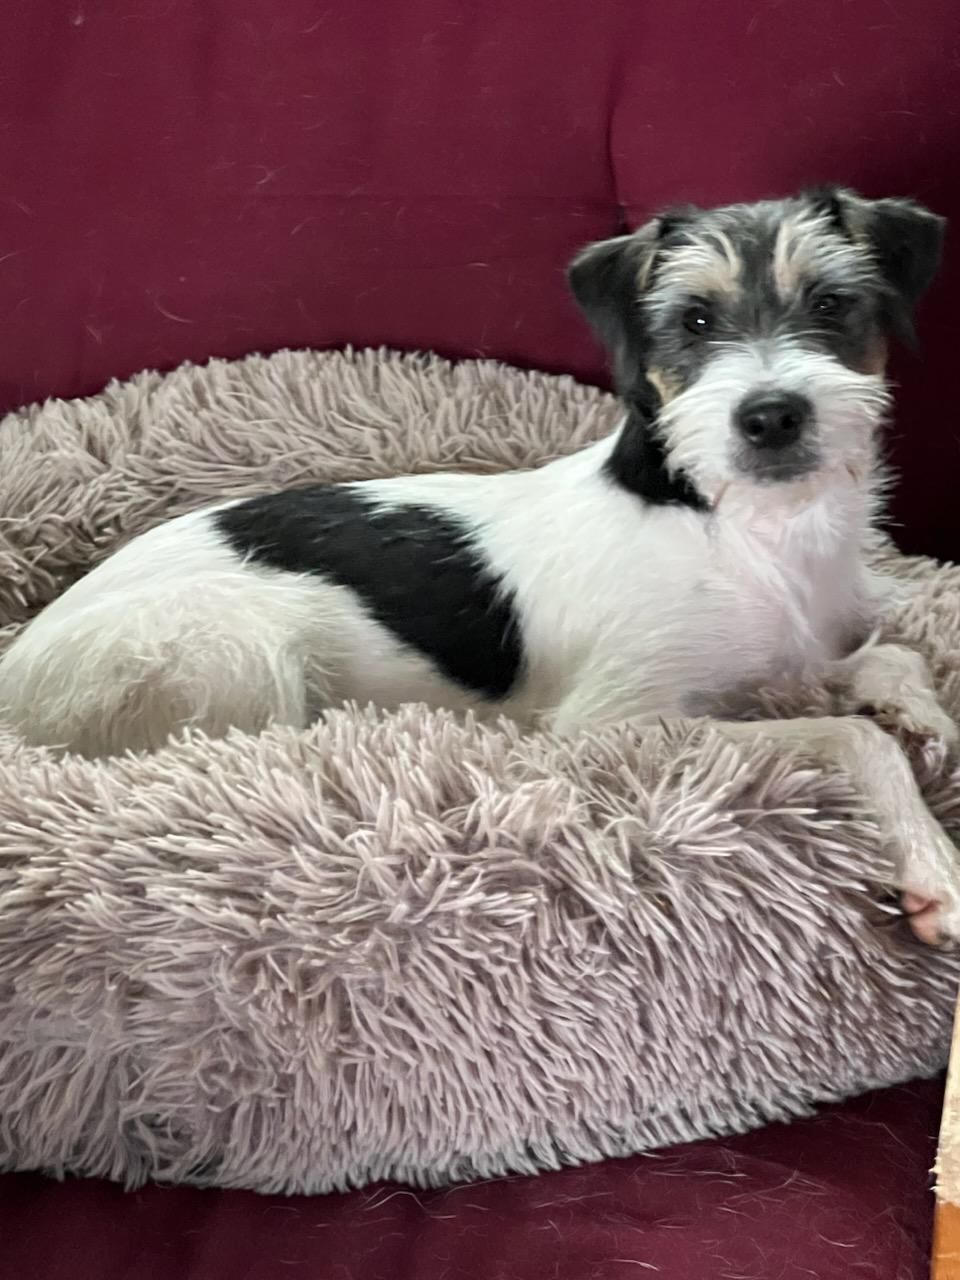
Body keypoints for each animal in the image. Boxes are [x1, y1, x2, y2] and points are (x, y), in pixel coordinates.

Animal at [1, 185, 957, 943]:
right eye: (692, 321)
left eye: (831, 304)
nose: (771, 416)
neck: (744, 525)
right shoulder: (612, 721)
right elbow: (849, 733)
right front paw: (932, 862)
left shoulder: (792, 653)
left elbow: (884, 657)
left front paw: (919, 712)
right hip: (237, 644)